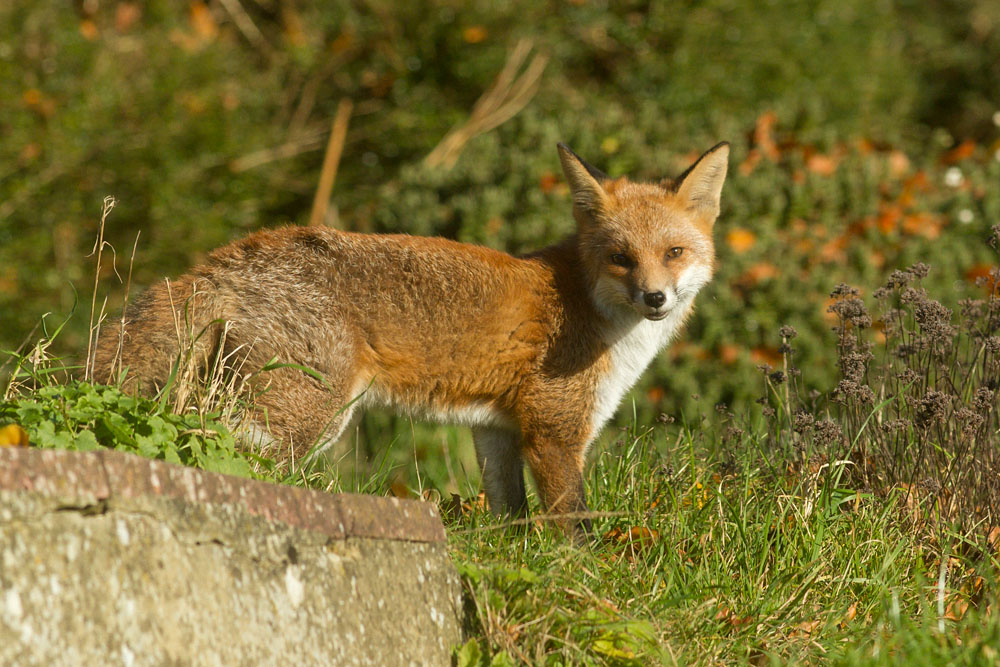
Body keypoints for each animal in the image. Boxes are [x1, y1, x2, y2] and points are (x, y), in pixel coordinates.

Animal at [94, 141, 729, 536]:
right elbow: (571, 525)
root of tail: (221, 263)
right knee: (216, 448)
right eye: (621, 259)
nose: (655, 299)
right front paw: (581, 576)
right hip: (304, 417)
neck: (587, 306)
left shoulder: (497, 428)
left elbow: (510, 514)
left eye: (674, 253)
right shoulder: (554, 430)